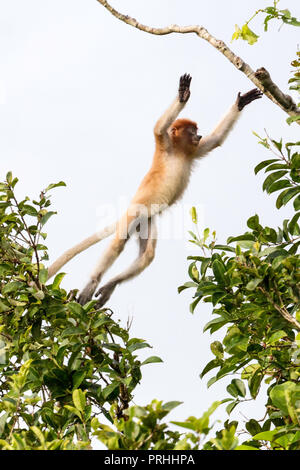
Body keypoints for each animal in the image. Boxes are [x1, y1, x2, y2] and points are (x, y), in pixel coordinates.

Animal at [47, 75, 262, 306]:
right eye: (192, 131)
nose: (198, 135)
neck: (179, 151)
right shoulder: (165, 144)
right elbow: (159, 128)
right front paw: (182, 94)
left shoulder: (193, 151)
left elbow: (216, 140)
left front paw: (242, 101)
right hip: (135, 213)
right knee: (117, 245)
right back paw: (92, 284)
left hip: (146, 221)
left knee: (147, 254)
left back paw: (111, 285)